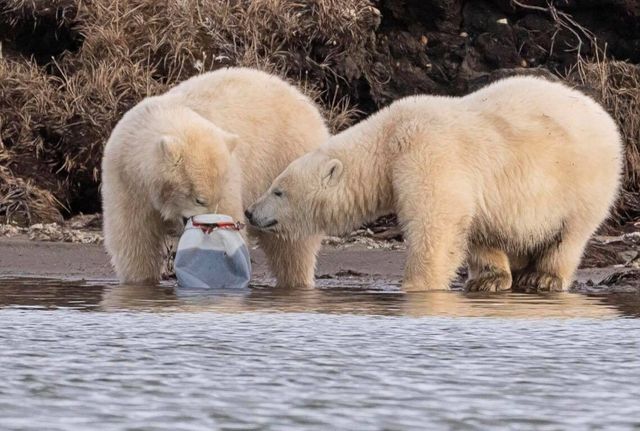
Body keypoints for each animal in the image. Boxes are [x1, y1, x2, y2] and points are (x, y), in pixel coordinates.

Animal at [104, 67, 330, 288]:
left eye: (216, 199)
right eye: (199, 199)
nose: (210, 225)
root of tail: (310, 107)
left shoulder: (230, 173)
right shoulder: (126, 180)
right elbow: (134, 238)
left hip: (285, 162)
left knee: (292, 246)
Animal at [246, 77, 624, 294]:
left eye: (278, 190)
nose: (250, 211)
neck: (388, 140)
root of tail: (603, 114)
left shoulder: (429, 152)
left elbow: (435, 222)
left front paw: (416, 286)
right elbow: (468, 224)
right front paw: (482, 279)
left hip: (584, 180)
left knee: (570, 234)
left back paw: (543, 278)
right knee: (496, 230)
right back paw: (492, 278)